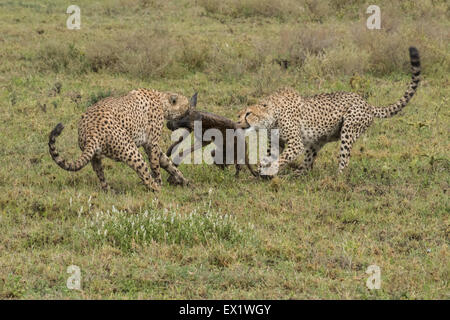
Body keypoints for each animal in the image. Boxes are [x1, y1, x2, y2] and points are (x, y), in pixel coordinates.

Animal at [49, 89, 197, 191]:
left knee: (100, 174)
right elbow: (156, 166)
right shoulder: (151, 144)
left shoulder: (150, 144)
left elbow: (168, 163)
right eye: (188, 107)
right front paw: (161, 181)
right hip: (131, 150)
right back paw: (158, 189)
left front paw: (185, 181)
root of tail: (91, 130)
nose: (192, 111)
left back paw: (109, 191)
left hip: (95, 156)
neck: (160, 99)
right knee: (145, 175)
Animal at [237, 46, 420, 176]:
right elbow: (268, 157)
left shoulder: (295, 143)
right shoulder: (278, 143)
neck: (272, 116)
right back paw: (296, 175)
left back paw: (337, 179)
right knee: (307, 165)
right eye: (238, 114)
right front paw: (261, 169)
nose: (238, 122)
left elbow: (281, 159)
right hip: (317, 141)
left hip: (348, 130)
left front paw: (269, 170)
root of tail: (365, 102)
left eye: (248, 113)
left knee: (344, 160)